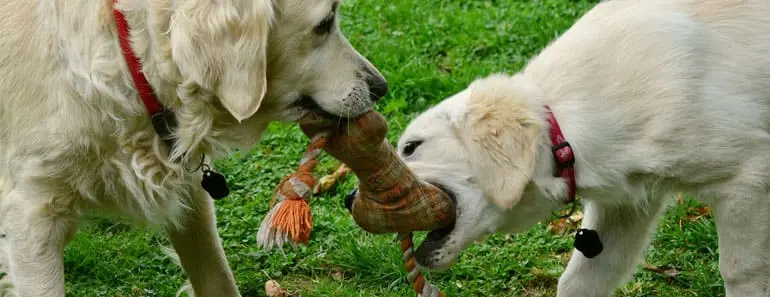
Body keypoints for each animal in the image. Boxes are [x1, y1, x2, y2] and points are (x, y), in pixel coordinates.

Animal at [0, 0, 384, 294]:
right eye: (325, 23)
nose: (381, 86)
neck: (130, 59)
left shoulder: (190, 195)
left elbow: (216, 276)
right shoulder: (33, 216)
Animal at [396, 1, 768, 294]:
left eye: (411, 147)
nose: (368, 200)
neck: (564, 127)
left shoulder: (747, 179)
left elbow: (740, 271)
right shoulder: (624, 207)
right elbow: (579, 279)